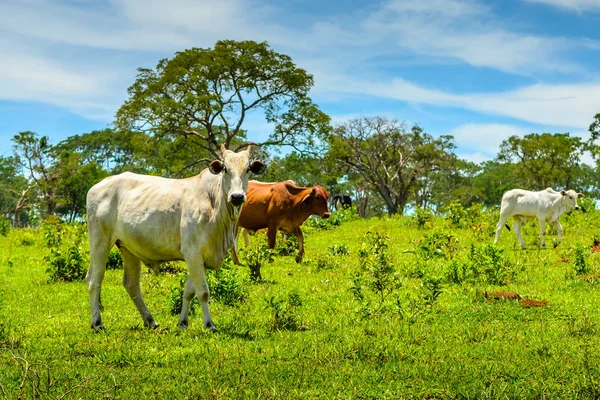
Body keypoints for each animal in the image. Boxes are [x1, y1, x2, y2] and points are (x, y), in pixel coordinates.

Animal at [84, 145, 264, 330]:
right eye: (225, 169)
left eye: (248, 169)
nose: (237, 197)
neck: (215, 204)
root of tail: (98, 186)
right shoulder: (192, 252)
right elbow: (203, 292)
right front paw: (209, 324)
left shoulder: (203, 258)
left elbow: (189, 292)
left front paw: (182, 322)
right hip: (100, 241)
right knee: (94, 280)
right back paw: (97, 323)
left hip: (128, 248)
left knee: (131, 284)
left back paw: (150, 320)